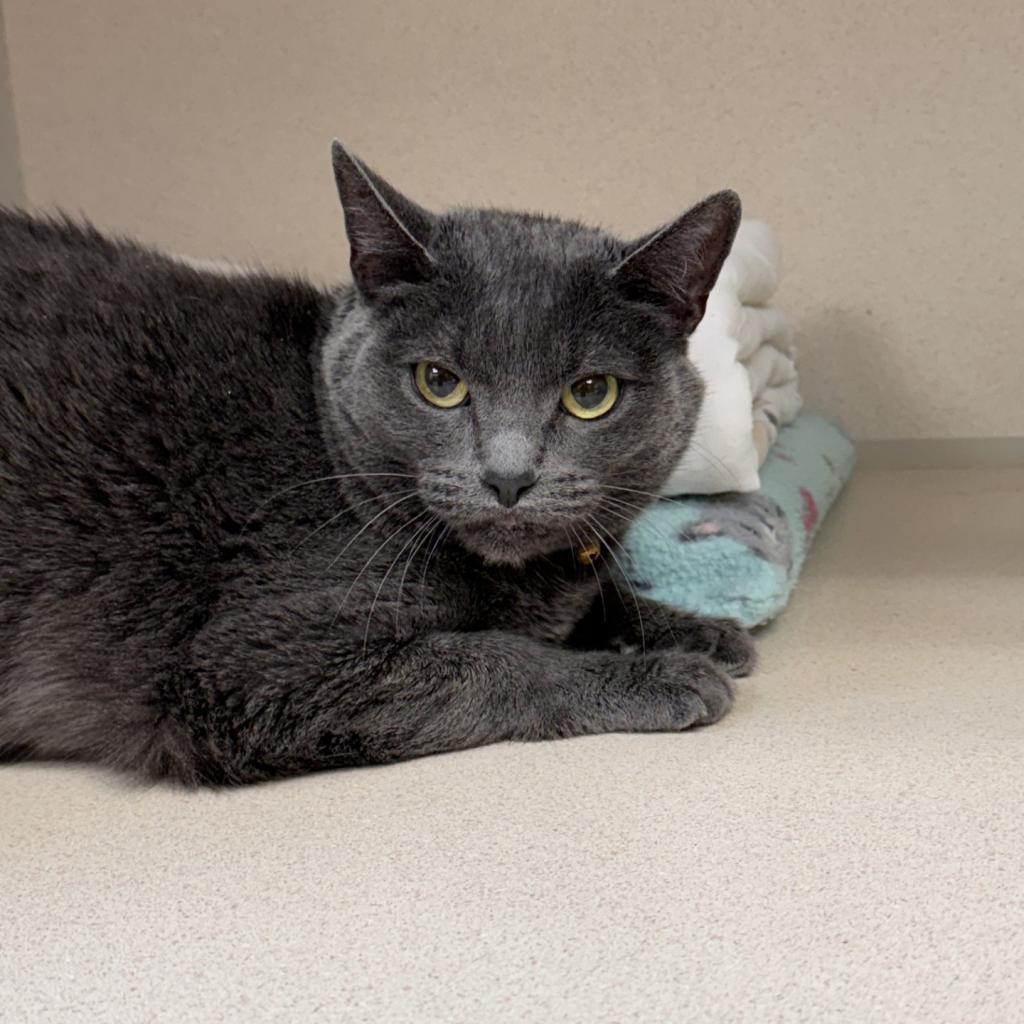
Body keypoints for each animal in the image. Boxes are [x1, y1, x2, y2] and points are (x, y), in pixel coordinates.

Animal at [0, 142, 753, 782]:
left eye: (591, 393)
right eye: (438, 381)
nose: (508, 477)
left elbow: (593, 601)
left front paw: (702, 631)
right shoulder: (251, 663)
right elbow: (494, 658)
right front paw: (665, 673)